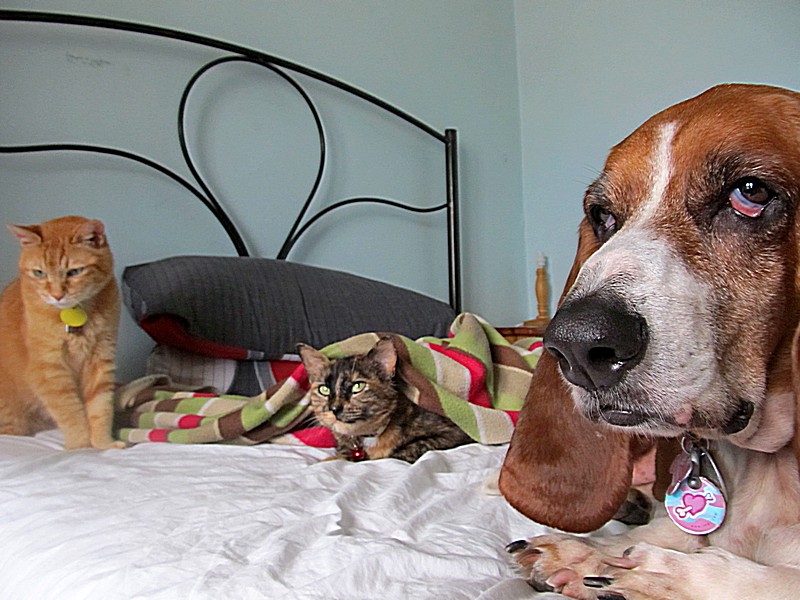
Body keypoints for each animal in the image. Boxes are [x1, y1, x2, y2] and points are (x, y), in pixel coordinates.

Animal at [0, 216, 123, 450]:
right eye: (39, 273)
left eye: (74, 271)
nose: (57, 295)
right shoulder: (49, 371)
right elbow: (71, 413)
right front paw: (80, 446)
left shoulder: (100, 359)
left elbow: (101, 409)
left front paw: (103, 444)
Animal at [499, 84, 800, 599]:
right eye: (602, 215)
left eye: (751, 193)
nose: (577, 346)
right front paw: (585, 553)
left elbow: (765, 579)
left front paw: (654, 575)